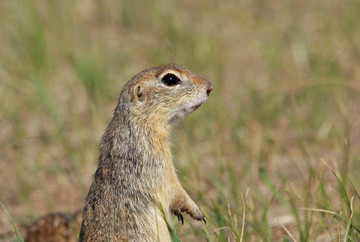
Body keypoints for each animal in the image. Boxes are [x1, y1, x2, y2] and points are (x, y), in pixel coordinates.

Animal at [79, 63, 211, 241]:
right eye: (170, 79)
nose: (210, 86)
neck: (138, 124)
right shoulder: (156, 162)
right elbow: (174, 190)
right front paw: (196, 212)